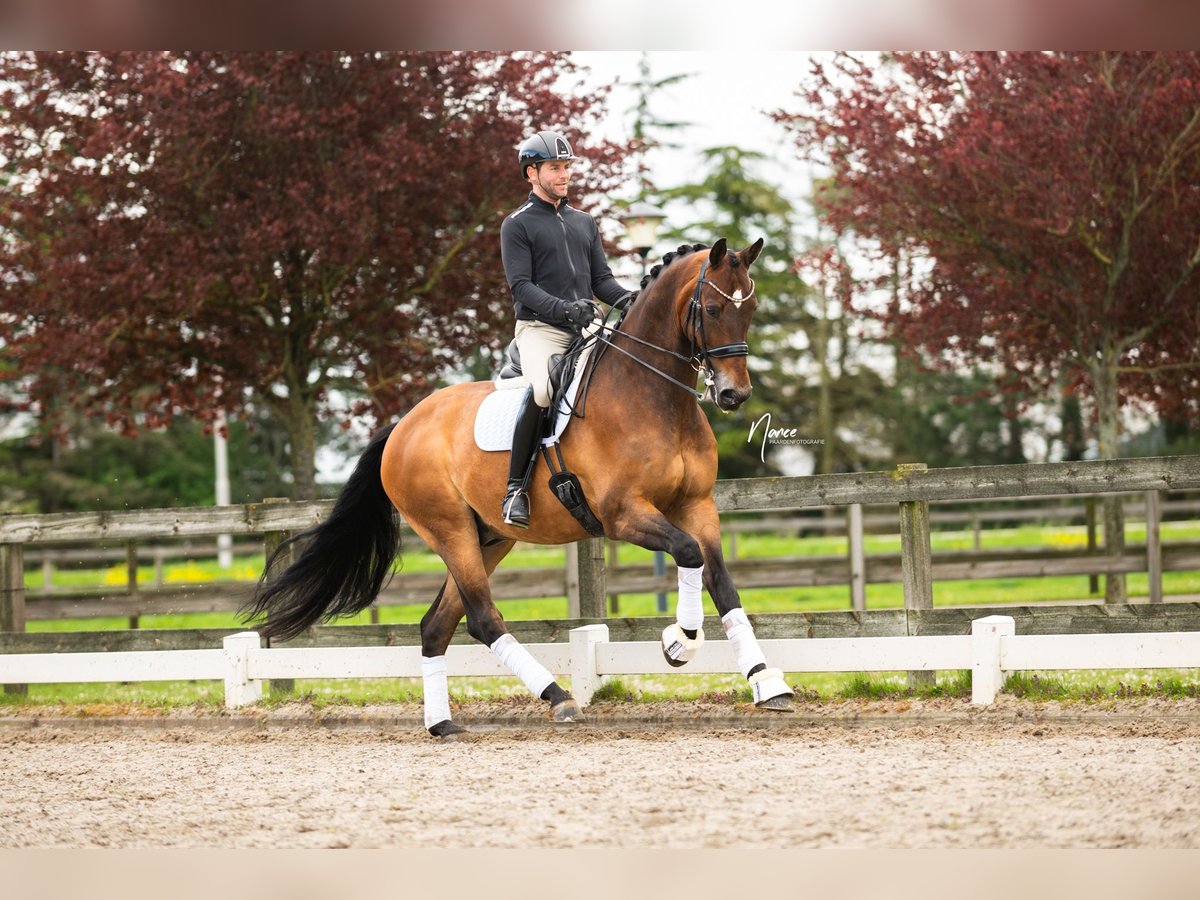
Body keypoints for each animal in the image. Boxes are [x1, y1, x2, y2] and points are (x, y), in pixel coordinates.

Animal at [238, 236, 792, 734]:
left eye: (750, 308)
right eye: (713, 308)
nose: (733, 394)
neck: (653, 395)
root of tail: (403, 426)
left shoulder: (697, 506)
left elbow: (722, 582)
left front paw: (767, 683)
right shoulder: (623, 515)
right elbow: (688, 555)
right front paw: (680, 641)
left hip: (490, 537)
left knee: (438, 625)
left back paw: (442, 724)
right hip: (450, 531)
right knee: (483, 618)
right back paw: (558, 699)